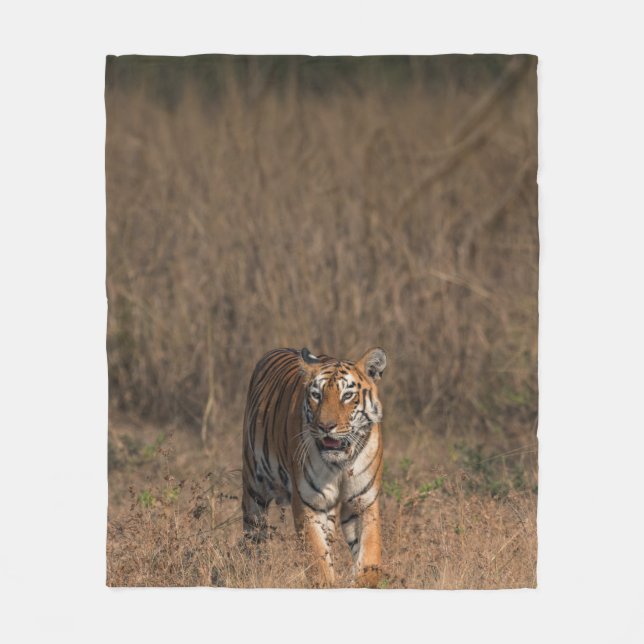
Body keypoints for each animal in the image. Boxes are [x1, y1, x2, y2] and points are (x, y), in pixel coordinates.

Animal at [241, 346, 387, 588]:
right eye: (316, 395)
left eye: (347, 395)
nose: (326, 426)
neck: (340, 462)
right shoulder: (309, 504)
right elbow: (318, 562)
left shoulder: (363, 502)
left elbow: (370, 558)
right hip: (254, 487)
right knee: (253, 537)